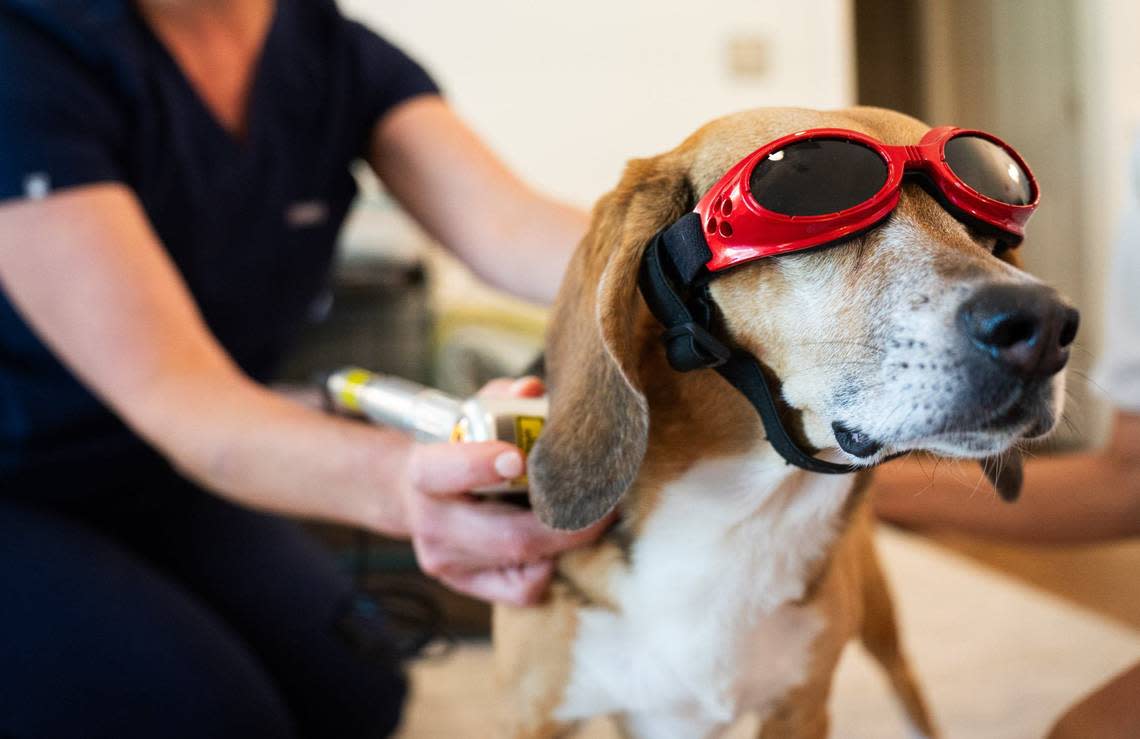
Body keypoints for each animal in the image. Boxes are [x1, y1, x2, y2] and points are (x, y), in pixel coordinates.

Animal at [492, 108, 1076, 739]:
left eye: (985, 230)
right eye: (812, 181)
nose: (1046, 326)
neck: (740, 511)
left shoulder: (801, 707)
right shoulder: (527, 718)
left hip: (884, 633)